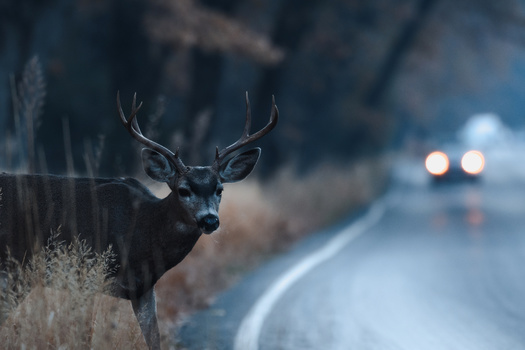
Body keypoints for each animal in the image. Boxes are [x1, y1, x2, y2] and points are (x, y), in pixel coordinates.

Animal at [0, 91, 278, 348]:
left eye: (219, 189)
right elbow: (84, 336)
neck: (143, 232)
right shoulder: (87, 272)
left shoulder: (144, 288)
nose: (209, 220)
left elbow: (154, 339)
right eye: (183, 190)